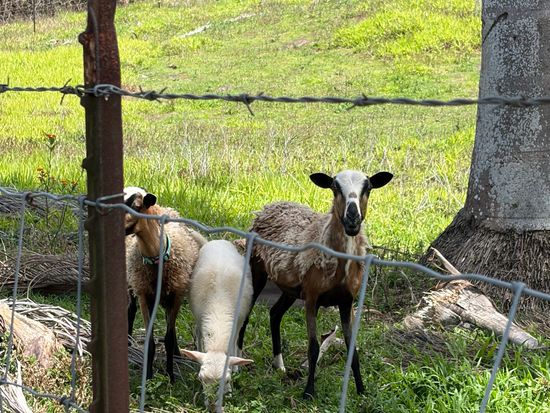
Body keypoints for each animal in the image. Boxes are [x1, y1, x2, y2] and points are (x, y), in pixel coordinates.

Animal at [124, 187, 206, 382]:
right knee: (130, 310)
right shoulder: (144, 295)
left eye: (136, 206)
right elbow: (149, 340)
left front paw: (170, 376)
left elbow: (168, 338)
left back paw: (176, 352)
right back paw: (129, 342)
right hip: (132, 281)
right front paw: (148, 376)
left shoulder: (176, 295)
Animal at [181, 240, 254, 410]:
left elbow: (234, 345)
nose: (213, 407)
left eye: (226, 380)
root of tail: (217, 240)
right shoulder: (201, 320)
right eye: (201, 378)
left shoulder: (238, 322)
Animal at [238, 169, 393, 399]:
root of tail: (270, 206)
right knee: (246, 315)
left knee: (275, 313)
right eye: (335, 187)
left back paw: (279, 365)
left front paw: (361, 390)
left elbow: (352, 348)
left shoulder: (347, 302)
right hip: (256, 270)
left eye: (369, 187)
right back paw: (237, 362)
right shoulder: (312, 299)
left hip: (290, 288)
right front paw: (309, 392)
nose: (352, 218)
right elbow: (313, 347)